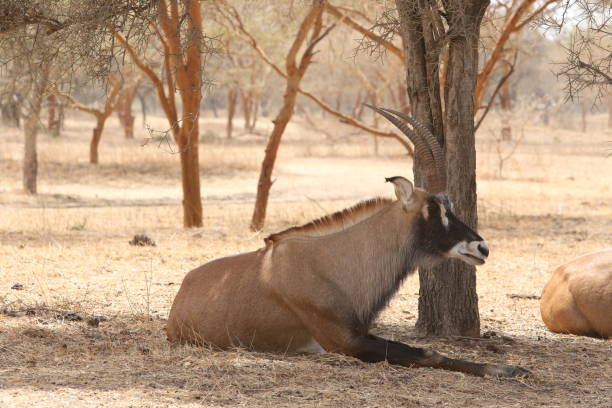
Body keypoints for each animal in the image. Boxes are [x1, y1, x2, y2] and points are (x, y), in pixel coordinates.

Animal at [166, 105, 524, 376]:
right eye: (434, 208)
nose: (481, 247)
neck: (335, 261)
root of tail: (180, 295)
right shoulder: (344, 342)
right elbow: (426, 353)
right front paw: (505, 369)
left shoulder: (357, 332)